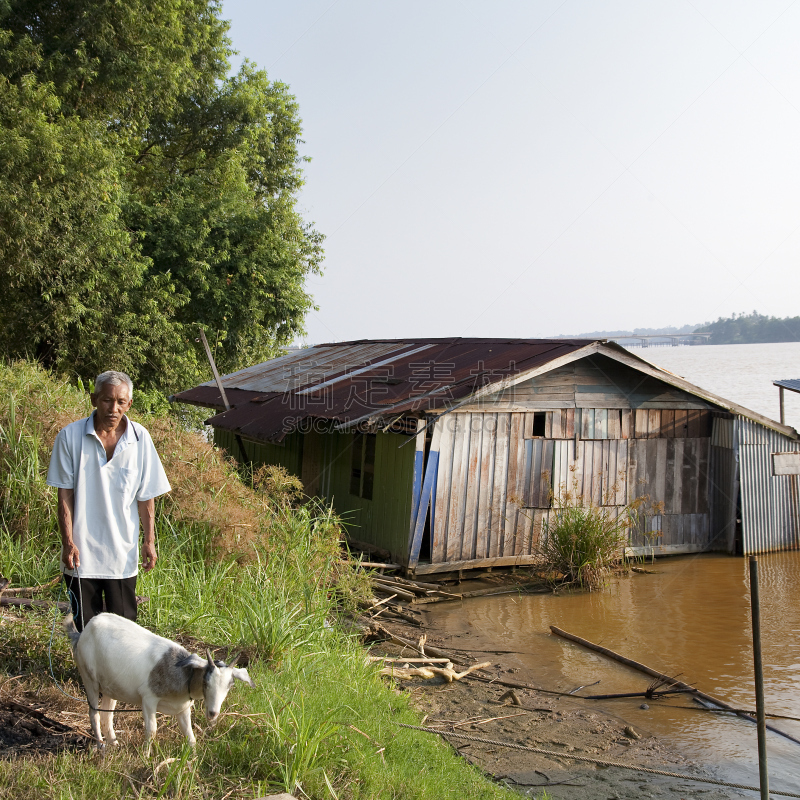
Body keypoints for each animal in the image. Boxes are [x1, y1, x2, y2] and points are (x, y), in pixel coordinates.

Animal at [64, 616, 255, 752]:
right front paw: (145, 756)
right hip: (89, 678)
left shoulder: (183, 707)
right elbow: (152, 730)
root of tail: (84, 631)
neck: (184, 674)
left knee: (106, 716)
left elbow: (189, 734)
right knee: (94, 714)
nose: (212, 713)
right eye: (206, 682)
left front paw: (194, 758)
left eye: (229, 686)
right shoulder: (148, 699)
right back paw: (101, 747)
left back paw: (114, 745)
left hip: (111, 688)